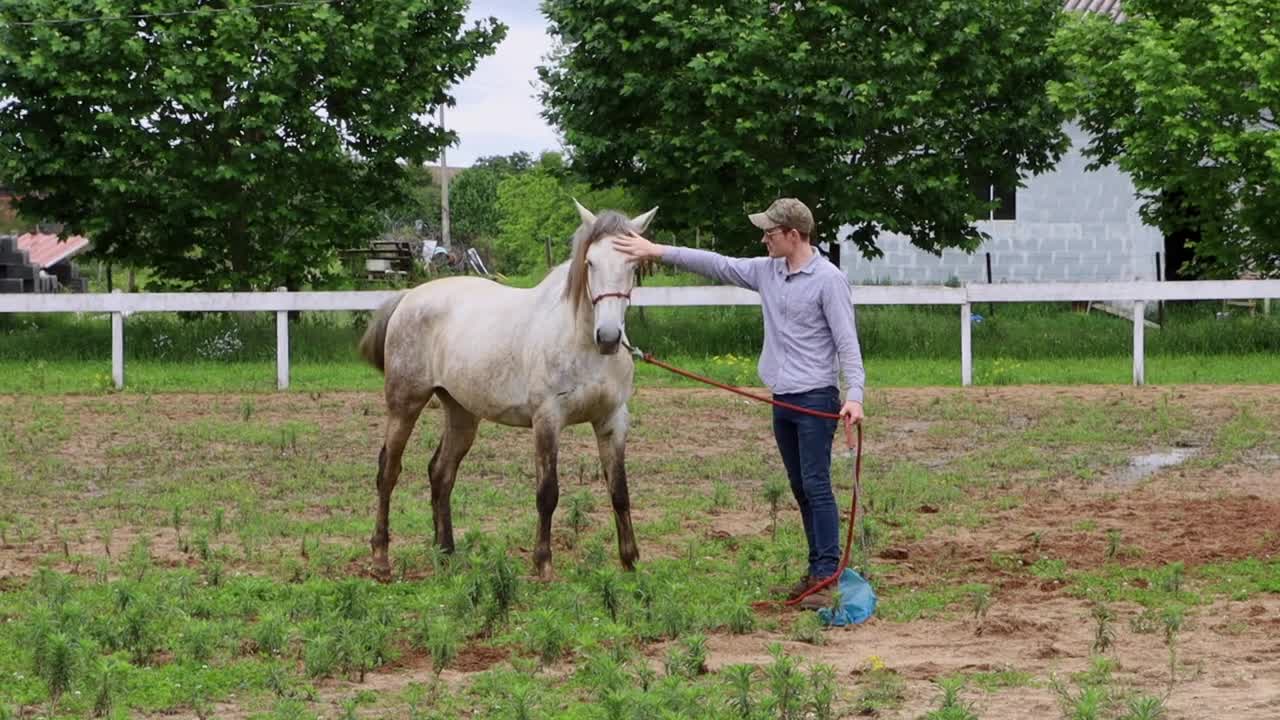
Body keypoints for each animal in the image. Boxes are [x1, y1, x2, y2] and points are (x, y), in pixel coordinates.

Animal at [360, 197, 660, 576]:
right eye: (590, 262)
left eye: (633, 265)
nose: (608, 337)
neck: (581, 343)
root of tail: (408, 297)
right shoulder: (547, 420)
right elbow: (547, 493)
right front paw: (543, 564)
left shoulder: (612, 420)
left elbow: (619, 491)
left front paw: (630, 563)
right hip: (405, 404)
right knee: (388, 472)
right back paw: (381, 559)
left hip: (462, 413)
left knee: (441, 473)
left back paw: (446, 552)